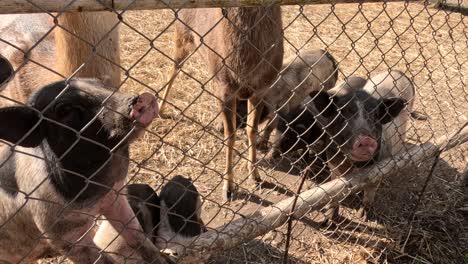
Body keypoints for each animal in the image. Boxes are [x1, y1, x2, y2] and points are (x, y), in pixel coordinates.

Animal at [0, 77, 172, 262]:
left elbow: (137, 235)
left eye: (99, 83)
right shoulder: (61, 231)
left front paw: (166, 260)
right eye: (64, 109)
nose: (141, 97)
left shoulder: (114, 196)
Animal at [158, 6, 282, 201]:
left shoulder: (261, 88)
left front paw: (255, 175)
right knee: (174, 68)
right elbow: (230, 136)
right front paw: (228, 188)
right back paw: (161, 109)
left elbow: (251, 129)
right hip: (182, 35)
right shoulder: (225, 89)